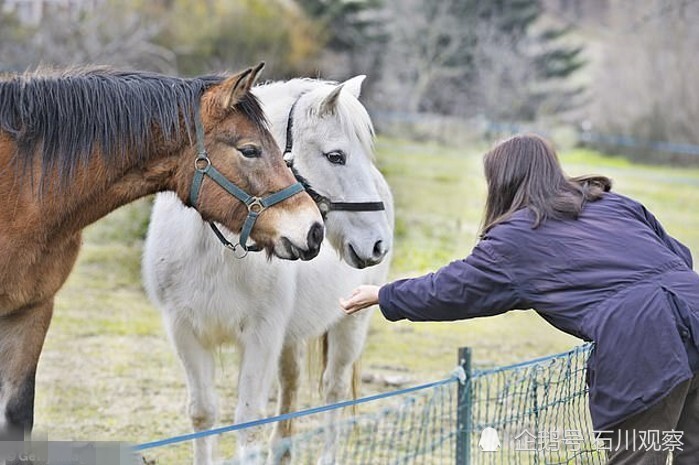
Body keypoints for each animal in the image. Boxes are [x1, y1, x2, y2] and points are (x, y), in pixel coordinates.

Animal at [143, 77, 396, 464]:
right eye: (336, 156)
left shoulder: (261, 336)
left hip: (351, 324)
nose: (378, 244)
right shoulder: (185, 332)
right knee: (291, 384)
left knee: (333, 389)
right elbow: (203, 414)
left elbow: (248, 424)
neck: (215, 251)